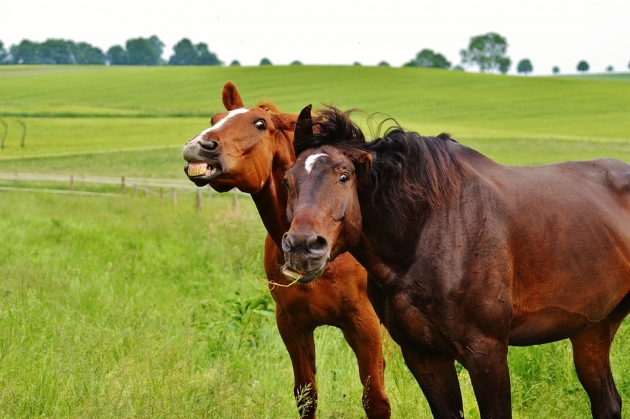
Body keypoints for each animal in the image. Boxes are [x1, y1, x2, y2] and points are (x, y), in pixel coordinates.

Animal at [180, 83, 392, 418]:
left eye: (259, 124)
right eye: (215, 118)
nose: (198, 146)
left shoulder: (364, 326)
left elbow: (376, 400)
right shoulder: (293, 325)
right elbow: (306, 396)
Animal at [282, 105, 630, 419]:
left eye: (344, 176)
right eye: (287, 180)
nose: (302, 246)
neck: (428, 234)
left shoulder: (487, 353)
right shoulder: (424, 356)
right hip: (593, 330)